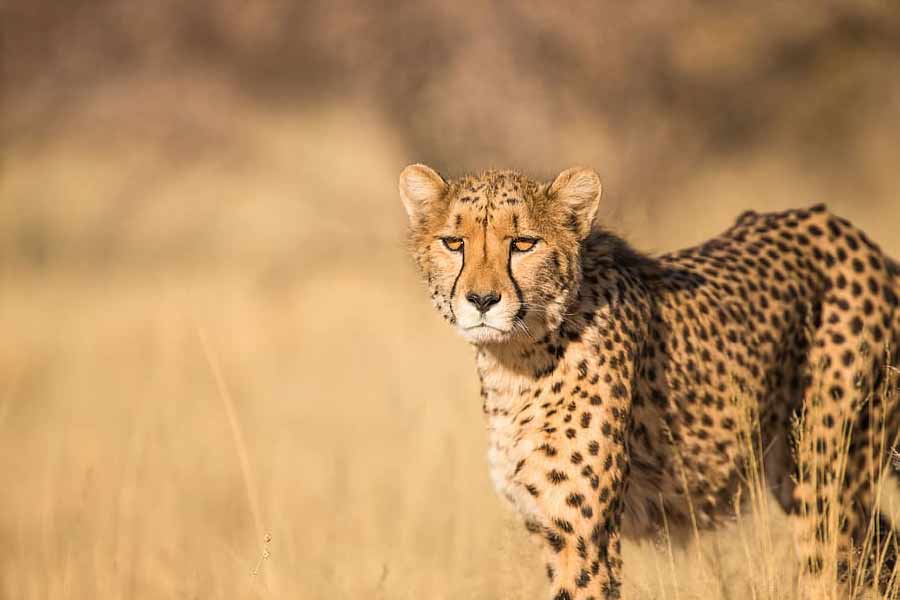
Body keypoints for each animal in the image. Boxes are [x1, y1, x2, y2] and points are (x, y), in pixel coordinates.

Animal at [398, 165, 900, 600]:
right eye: (453, 242)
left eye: (523, 244)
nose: (482, 300)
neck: (517, 360)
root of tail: (849, 233)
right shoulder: (549, 527)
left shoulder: (583, 538)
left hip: (827, 480)